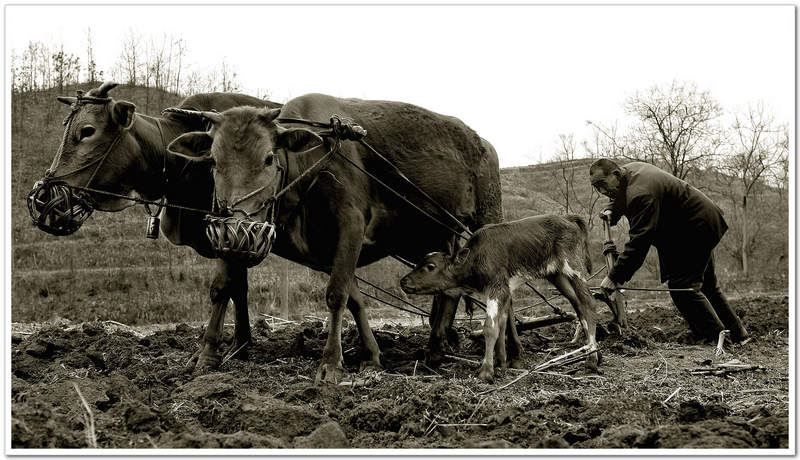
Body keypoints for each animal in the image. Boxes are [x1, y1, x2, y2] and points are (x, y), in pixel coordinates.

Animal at [404, 214, 596, 382]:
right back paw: (590, 351)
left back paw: (592, 359)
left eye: (431, 266)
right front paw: (501, 362)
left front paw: (487, 370)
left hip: (573, 266)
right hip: (557, 275)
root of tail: (566, 217)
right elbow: (501, 323)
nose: (403, 281)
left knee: (588, 302)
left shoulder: (497, 287)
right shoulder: (502, 290)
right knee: (578, 305)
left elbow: (490, 327)